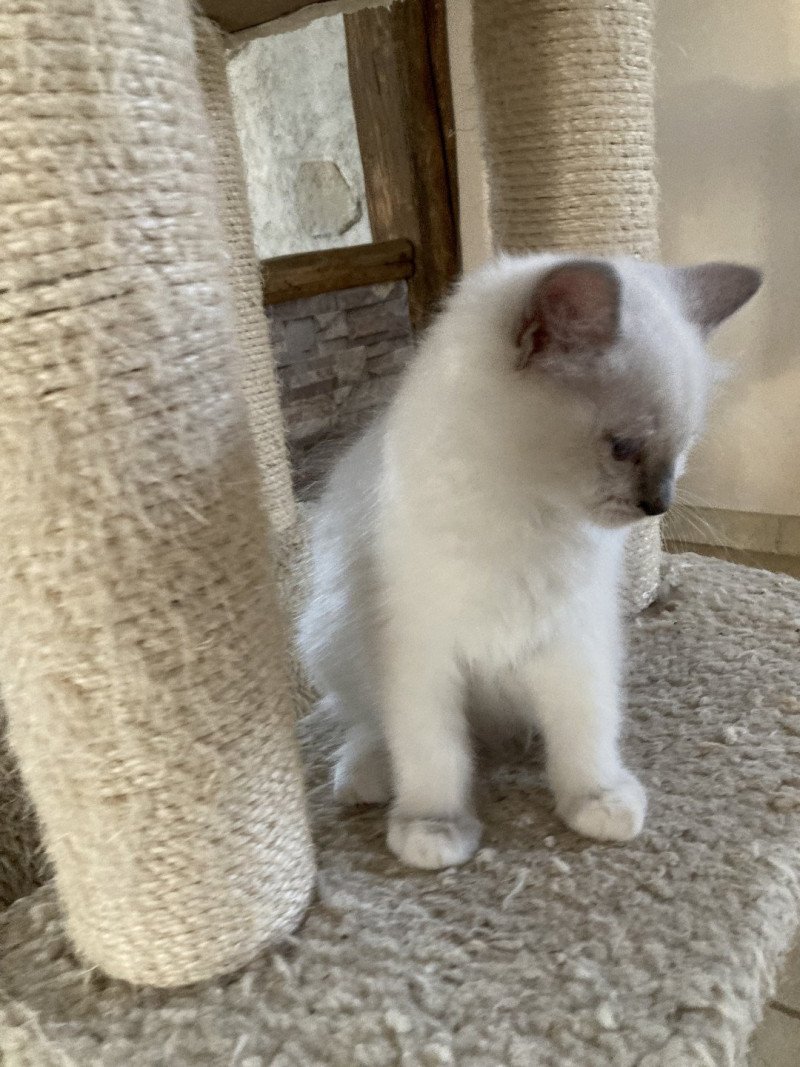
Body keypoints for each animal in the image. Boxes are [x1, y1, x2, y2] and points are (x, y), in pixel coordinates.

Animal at [298, 256, 759, 866]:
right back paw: (366, 778)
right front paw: (432, 829)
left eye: (683, 449)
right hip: (331, 639)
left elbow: (586, 733)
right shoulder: (420, 656)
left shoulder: (574, 640)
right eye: (623, 448)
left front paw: (597, 802)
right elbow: (433, 754)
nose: (659, 504)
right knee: (371, 724)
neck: (528, 516)